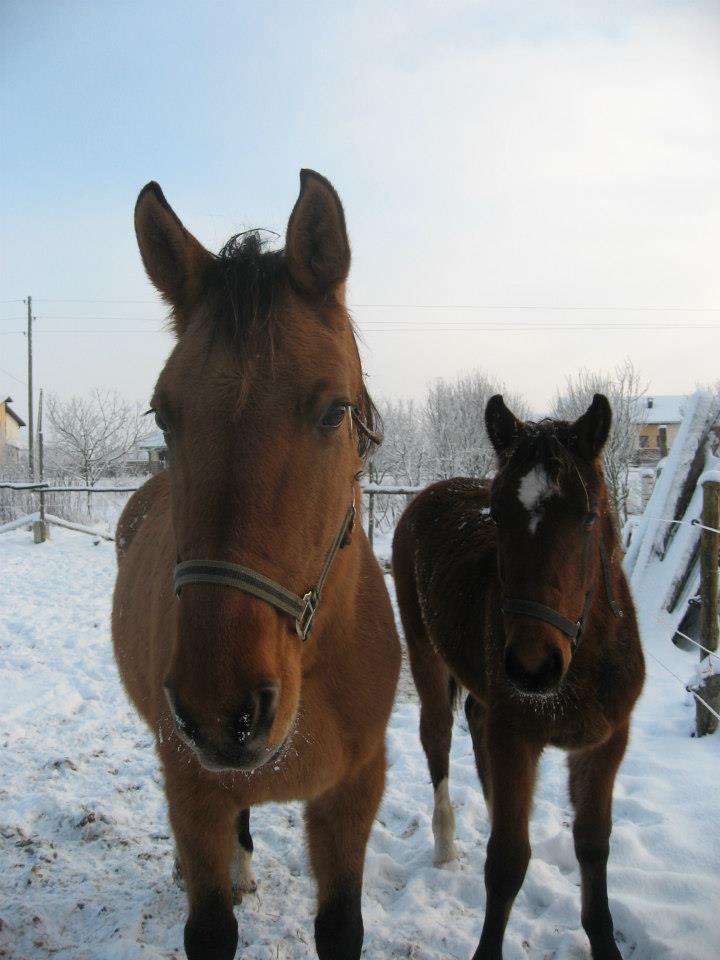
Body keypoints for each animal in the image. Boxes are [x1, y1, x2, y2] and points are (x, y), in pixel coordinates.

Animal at [115, 172, 402, 960]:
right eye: (163, 415)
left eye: (334, 412)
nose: (221, 710)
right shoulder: (193, 793)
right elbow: (211, 925)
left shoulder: (352, 797)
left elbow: (341, 928)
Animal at [394, 394, 648, 956]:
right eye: (498, 516)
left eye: (587, 516)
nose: (533, 665)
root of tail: (429, 493)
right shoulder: (516, 736)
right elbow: (507, 861)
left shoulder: (606, 744)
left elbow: (593, 846)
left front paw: (604, 940)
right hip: (426, 656)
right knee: (438, 737)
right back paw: (444, 843)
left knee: (475, 720)